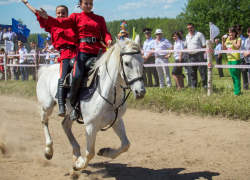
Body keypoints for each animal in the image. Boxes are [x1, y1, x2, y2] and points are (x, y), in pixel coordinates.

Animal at [37, 35, 146, 170]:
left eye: (142, 62)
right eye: (126, 63)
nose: (140, 92)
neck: (108, 93)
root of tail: (45, 69)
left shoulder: (117, 120)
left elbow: (126, 144)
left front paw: (105, 151)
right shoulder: (90, 126)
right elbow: (90, 153)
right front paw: (78, 165)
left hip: (71, 112)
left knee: (65, 125)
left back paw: (76, 153)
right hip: (47, 106)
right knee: (44, 121)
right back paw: (49, 150)